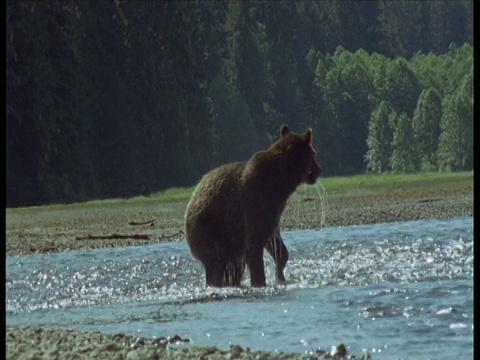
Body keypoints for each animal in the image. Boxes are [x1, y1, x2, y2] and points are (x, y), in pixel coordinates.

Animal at [186, 124, 320, 286]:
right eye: (313, 153)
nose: (318, 171)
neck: (281, 180)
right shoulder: (255, 201)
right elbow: (254, 246)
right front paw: (260, 281)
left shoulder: (273, 209)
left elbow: (274, 242)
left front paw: (280, 275)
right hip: (209, 229)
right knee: (216, 263)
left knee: (233, 267)